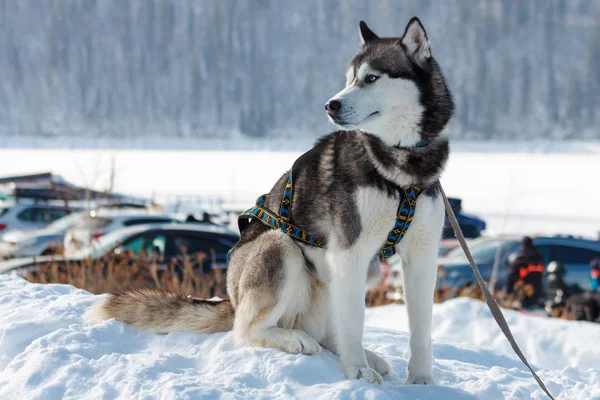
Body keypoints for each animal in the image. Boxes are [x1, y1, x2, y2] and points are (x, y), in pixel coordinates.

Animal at [89, 18, 452, 384]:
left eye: (372, 77)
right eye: (349, 78)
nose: (331, 105)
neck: (401, 168)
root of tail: (233, 298)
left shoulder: (421, 256)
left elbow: (421, 330)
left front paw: (421, 381)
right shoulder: (350, 253)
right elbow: (354, 325)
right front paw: (358, 372)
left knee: (329, 332)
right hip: (280, 247)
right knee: (247, 329)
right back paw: (295, 340)